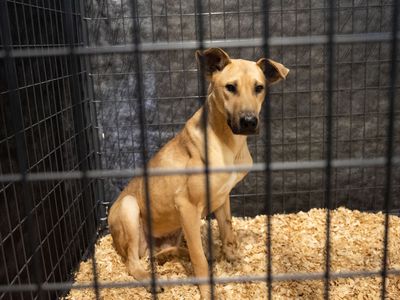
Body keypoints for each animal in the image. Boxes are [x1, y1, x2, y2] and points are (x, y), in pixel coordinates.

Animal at [108, 48, 290, 298]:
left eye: (259, 88)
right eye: (230, 87)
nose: (249, 121)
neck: (227, 141)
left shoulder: (223, 197)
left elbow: (227, 231)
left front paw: (231, 258)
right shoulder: (186, 205)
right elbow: (199, 260)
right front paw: (207, 290)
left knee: (171, 251)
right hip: (129, 207)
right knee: (133, 262)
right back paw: (150, 278)